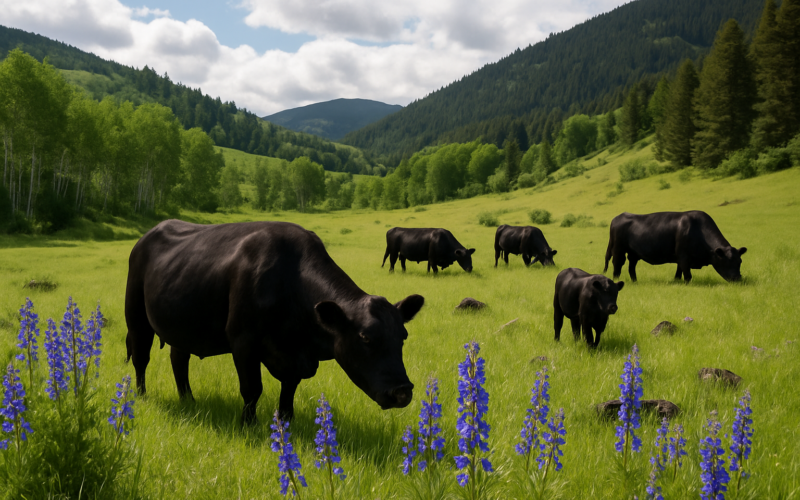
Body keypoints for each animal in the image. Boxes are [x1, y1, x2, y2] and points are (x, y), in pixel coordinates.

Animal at [125, 220, 425, 424]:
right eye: (365, 337)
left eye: (403, 336)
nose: (402, 392)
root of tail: (147, 234)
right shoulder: (243, 341)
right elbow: (252, 389)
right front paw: (249, 425)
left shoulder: (294, 357)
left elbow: (289, 389)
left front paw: (286, 421)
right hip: (136, 317)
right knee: (141, 357)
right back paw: (141, 396)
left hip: (183, 326)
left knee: (179, 359)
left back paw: (188, 399)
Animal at [604, 211, 747, 283]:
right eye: (726, 262)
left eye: (740, 261)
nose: (737, 278)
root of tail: (618, 216)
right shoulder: (683, 256)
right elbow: (687, 274)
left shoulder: (680, 257)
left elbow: (679, 272)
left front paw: (676, 281)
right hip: (618, 249)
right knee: (617, 266)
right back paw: (616, 281)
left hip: (634, 253)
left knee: (631, 267)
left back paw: (635, 281)